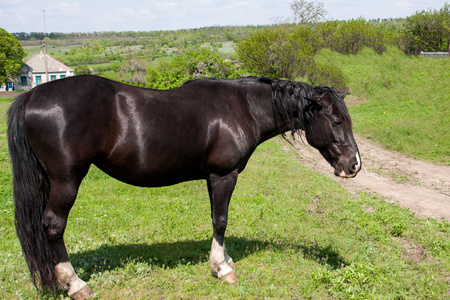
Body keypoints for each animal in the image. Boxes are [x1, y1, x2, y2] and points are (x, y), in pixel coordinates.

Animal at [7, 75, 362, 298]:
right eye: (336, 121)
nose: (354, 165)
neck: (240, 107)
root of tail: (32, 95)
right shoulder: (224, 175)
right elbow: (221, 220)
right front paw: (222, 268)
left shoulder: (213, 178)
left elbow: (217, 220)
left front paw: (226, 259)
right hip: (66, 181)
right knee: (53, 227)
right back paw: (76, 285)